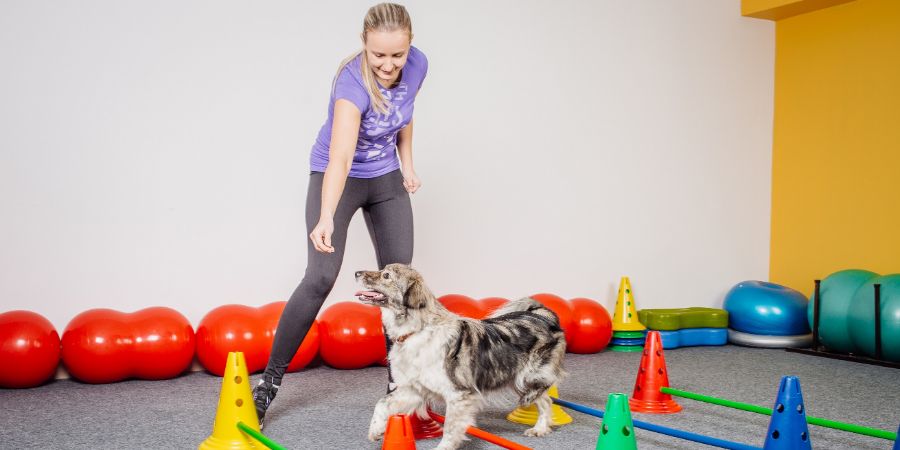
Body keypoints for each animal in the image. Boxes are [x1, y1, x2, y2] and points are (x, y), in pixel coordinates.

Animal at [356, 264, 568, 450]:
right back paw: (540, 429)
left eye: (386, 275)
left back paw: (538, 422)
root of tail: (542, 315)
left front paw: (443, 448)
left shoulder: (458, 394)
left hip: (527, 377)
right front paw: (376, 429)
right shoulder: (414, 389)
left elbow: (450, 428)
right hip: (516, 380)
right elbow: (382, 403)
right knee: (546, 401)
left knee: (545, 391)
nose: (356, 273)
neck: (417, 330)